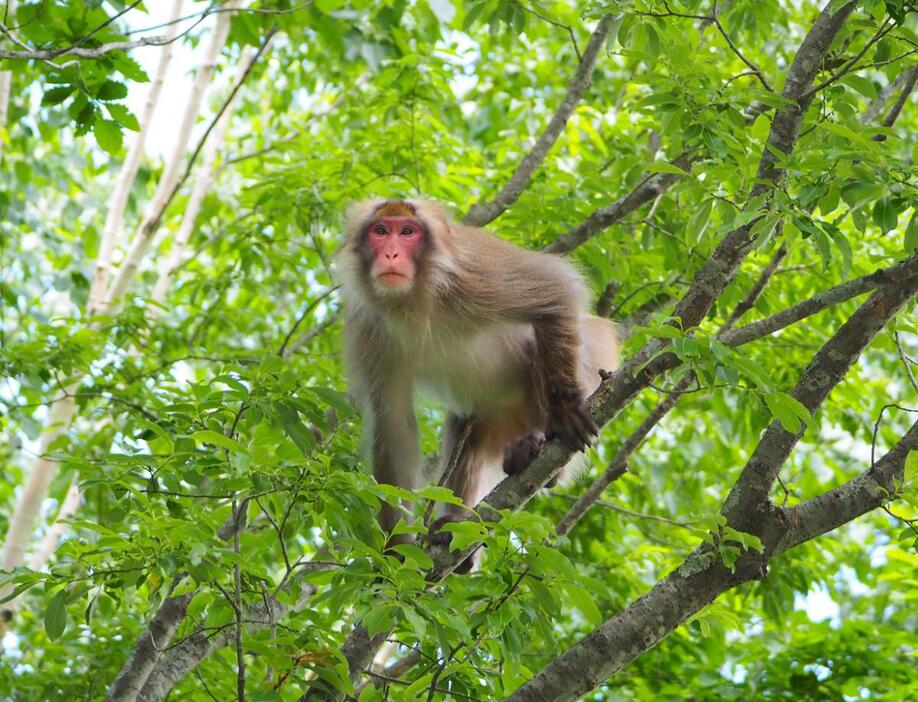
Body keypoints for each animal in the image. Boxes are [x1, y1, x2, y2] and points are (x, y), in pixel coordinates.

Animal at [342, 199, 620, 572]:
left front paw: (564, 409)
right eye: (381, 231)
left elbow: (555, 288)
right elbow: (394, 423)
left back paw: (541, 447)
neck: (415, 300)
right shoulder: (368, 330)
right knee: (465, 430)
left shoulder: (472, 275)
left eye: (408, 232)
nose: (390, 254)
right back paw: (454, 528)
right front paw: (396, 550)